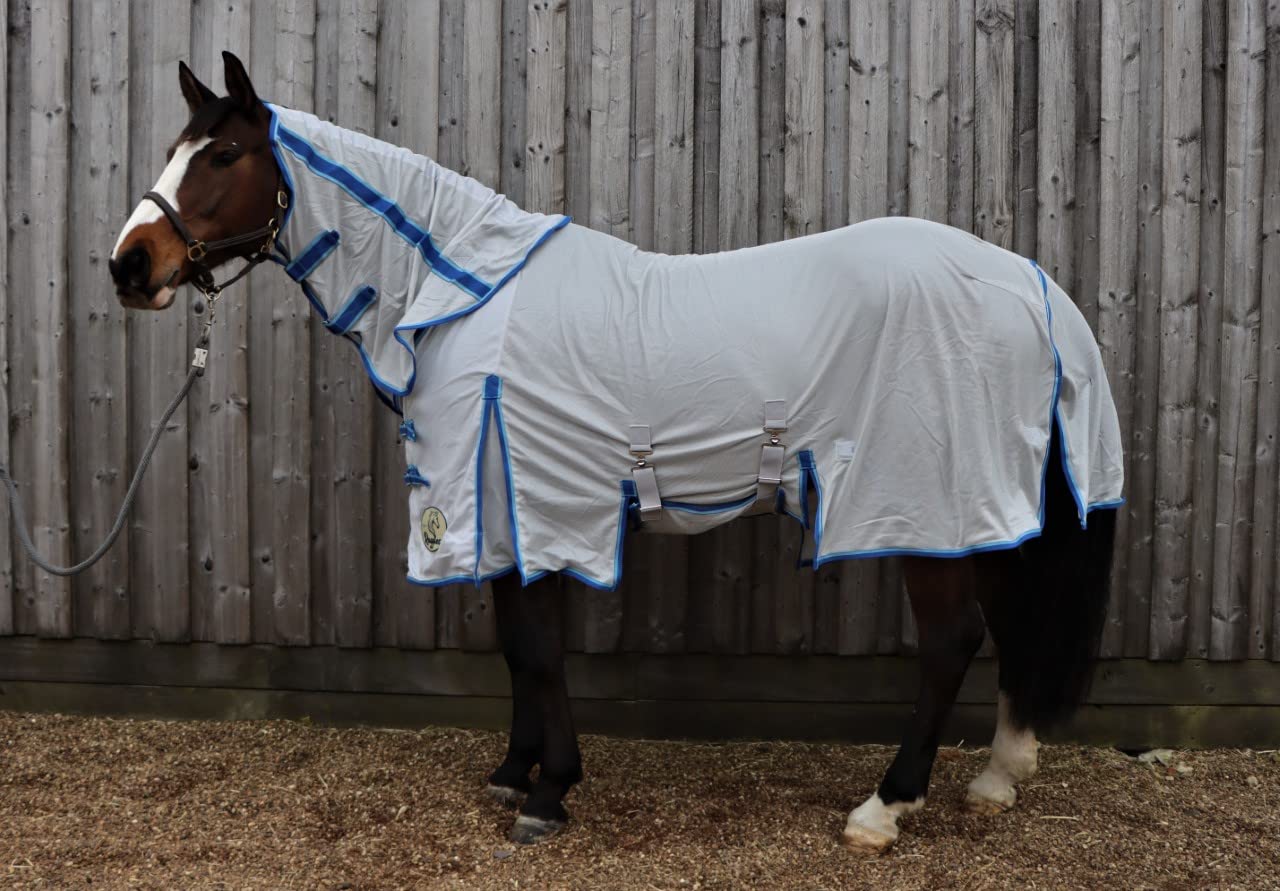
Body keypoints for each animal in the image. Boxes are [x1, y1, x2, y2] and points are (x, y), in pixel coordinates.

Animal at [110, 52, 1122, 852]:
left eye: (224, 155)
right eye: (173, 149)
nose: (130, 265)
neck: (461, 290)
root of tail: (1029, 281)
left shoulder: (525, 498)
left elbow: (537, 648)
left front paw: (549, 791)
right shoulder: (511, 512)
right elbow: (521, 646)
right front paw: (515, 771)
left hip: (919, 499)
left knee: (952, 641)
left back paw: (884, 807)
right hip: (977, 504)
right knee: (1007, 624)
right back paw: (997, 776)